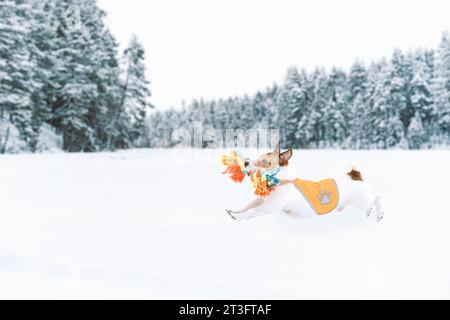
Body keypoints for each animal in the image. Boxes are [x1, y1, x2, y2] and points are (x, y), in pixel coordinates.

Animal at [225, 144, 384, 222]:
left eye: (264, 162)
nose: (245, 162)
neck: (281, 180)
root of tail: (354, 175)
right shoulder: (262, 200)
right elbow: (248, 205)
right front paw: (235, 211)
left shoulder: (269, 207)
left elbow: (252, 212)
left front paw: (238, 217)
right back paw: (369, 212)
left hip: (361, 200)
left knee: (376, 198)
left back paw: (378, 214)